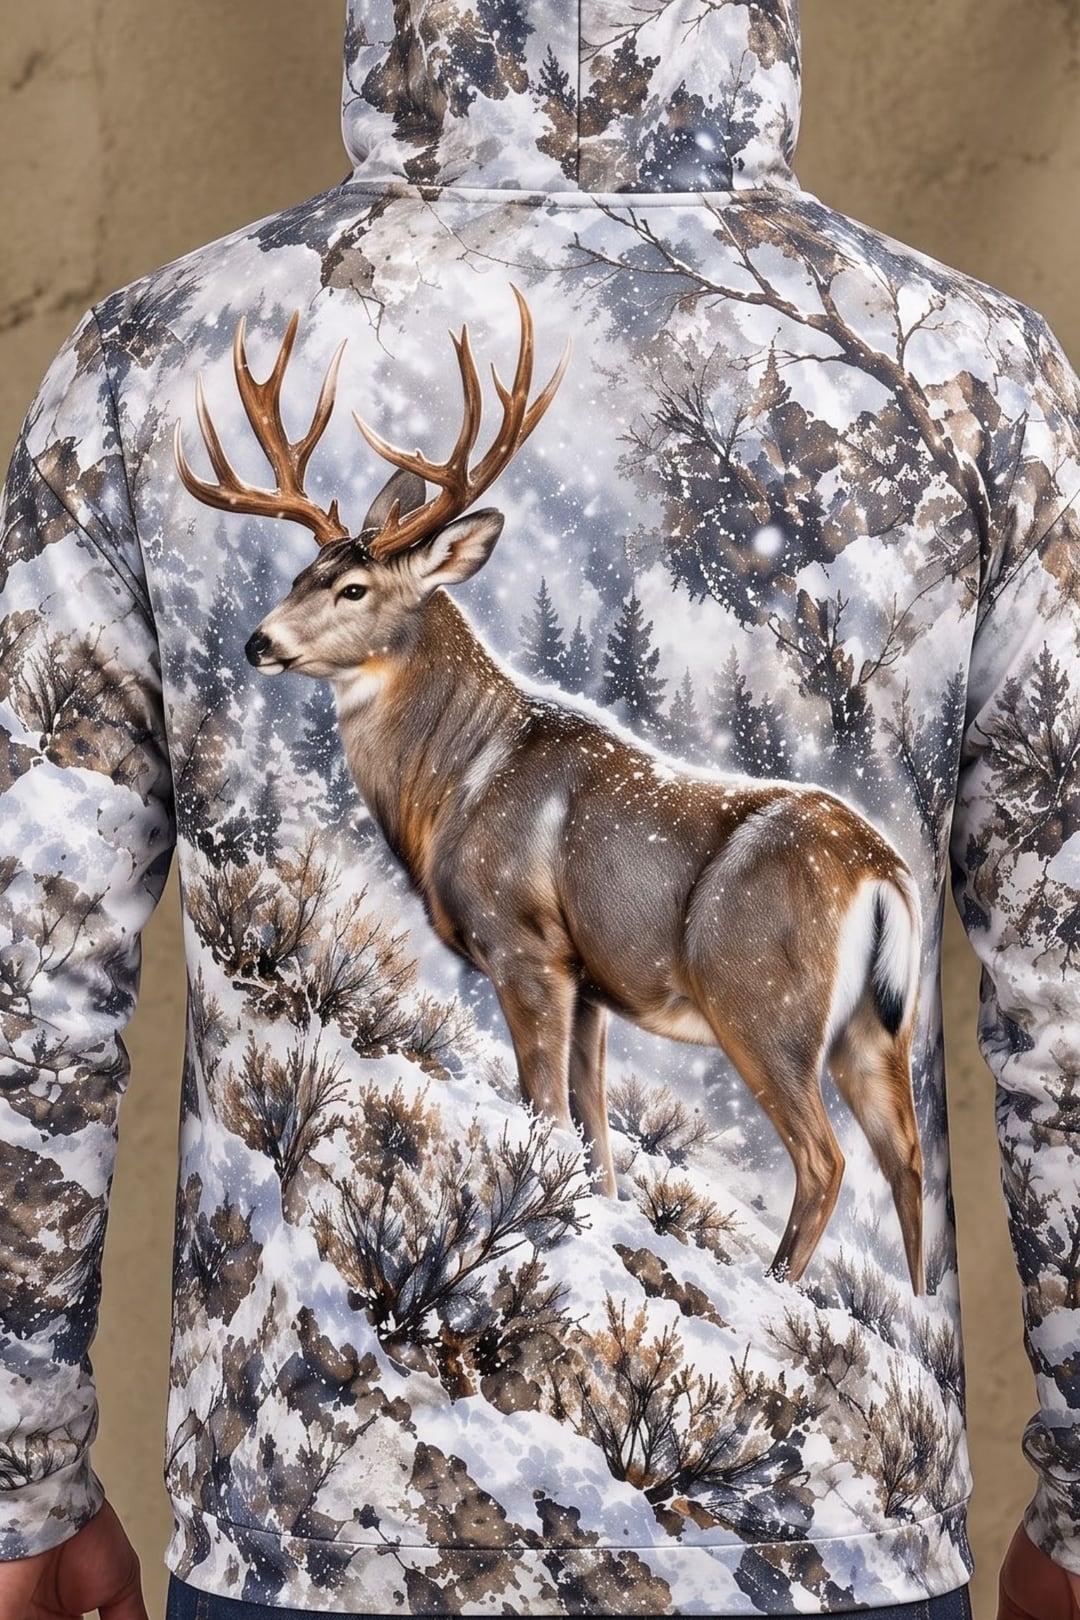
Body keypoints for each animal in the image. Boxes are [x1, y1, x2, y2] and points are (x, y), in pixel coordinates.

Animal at [175, 285, 926, 1293]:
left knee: (827, 1159)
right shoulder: (593, 985)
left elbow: (546, 1113)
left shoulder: (525, 947)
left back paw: (775, 1289)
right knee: (909, 1165)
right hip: (875, 1031)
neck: (455, 782)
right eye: (302, 573)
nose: (258, 642)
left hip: (761, 1002)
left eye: (353, 589)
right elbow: (598, 1141)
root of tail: (884, 873)